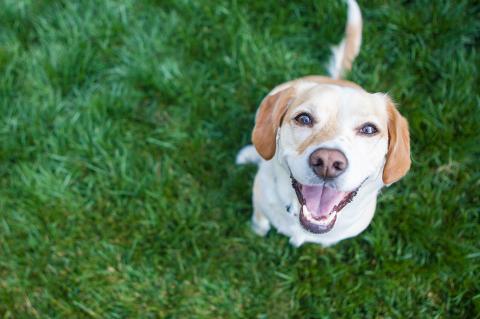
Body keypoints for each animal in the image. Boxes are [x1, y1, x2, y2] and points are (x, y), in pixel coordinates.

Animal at [238, 0, 410, 248]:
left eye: (368, 129)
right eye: (304, 119)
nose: (328, 162)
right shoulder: (259, 199)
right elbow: (259, 219)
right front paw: (257, 230)